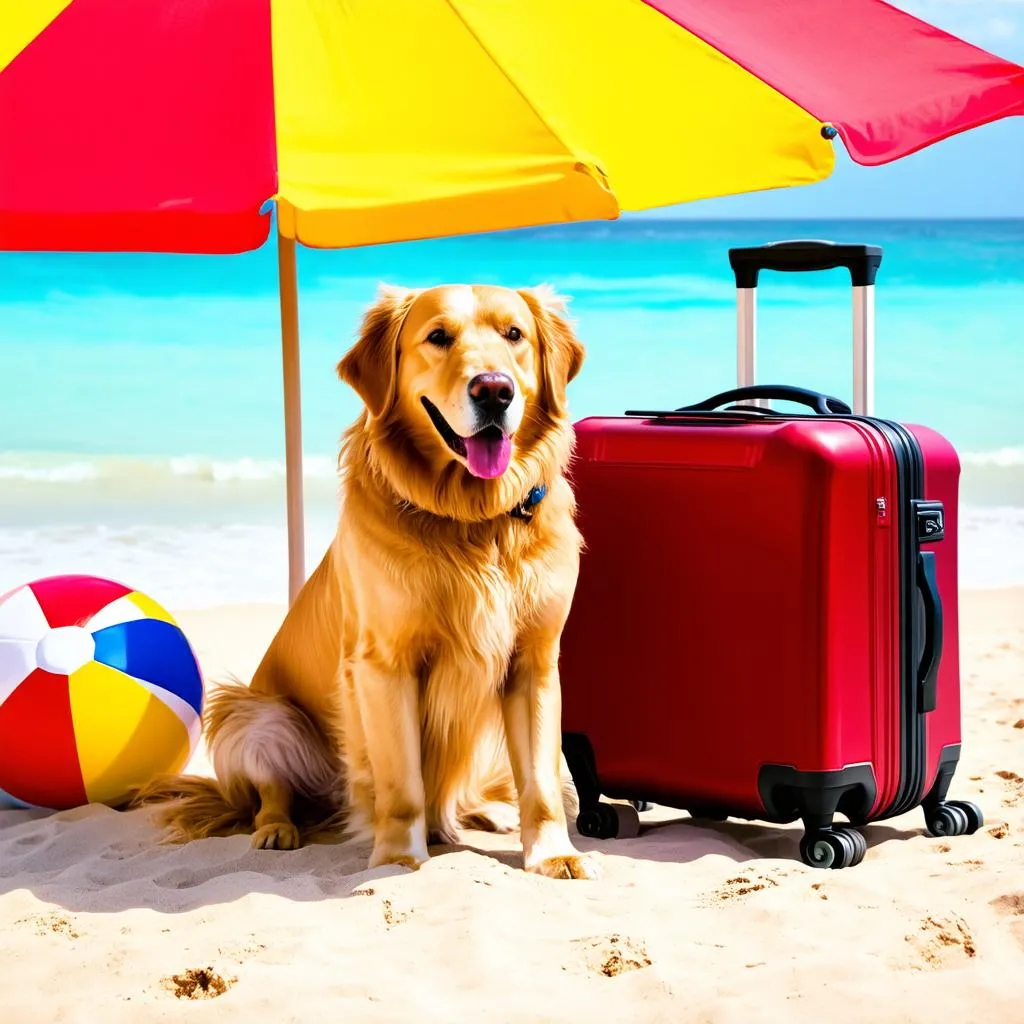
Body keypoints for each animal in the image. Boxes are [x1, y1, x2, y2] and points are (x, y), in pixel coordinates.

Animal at [136, 282, 598, 880]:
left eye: (514, 334)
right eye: (438, 336)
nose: (495, 390)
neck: (471, 521)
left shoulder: (533, 663)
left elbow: (540, 780)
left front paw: (554, 854)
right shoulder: (383, 663)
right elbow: (402, 782)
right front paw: (399, 857)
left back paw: (482, 814)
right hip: (256, 713)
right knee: (273, 792)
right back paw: (278, 829)